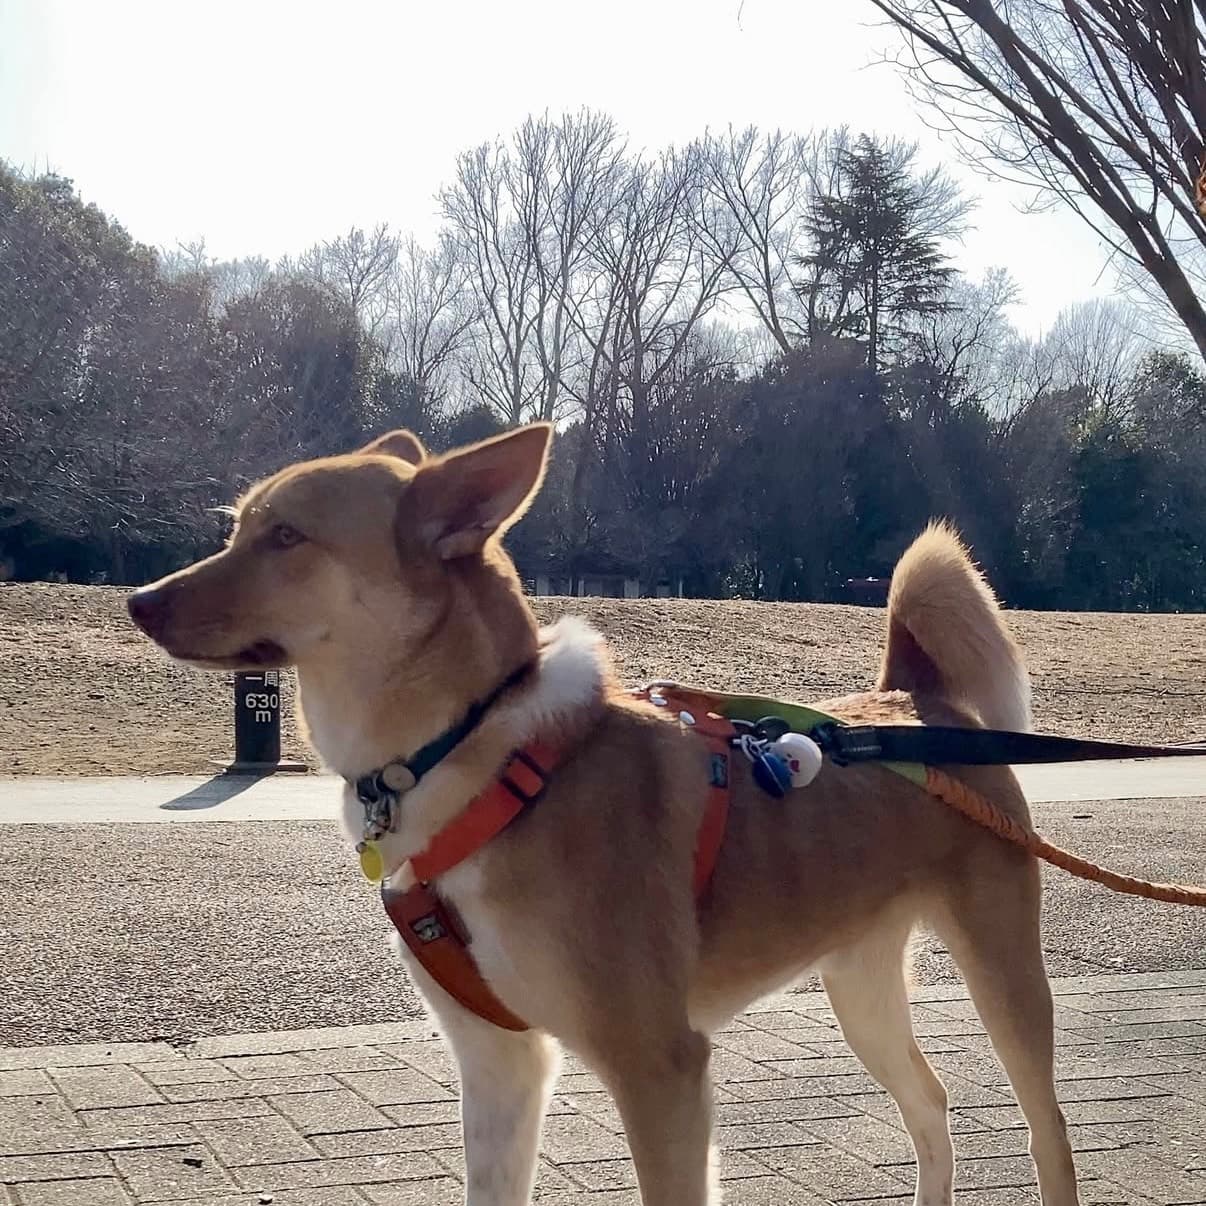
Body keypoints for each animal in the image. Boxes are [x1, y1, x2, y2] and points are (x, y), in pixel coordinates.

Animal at [128, 423, 1079, 1206]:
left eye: (285, 536)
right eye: (236, 528)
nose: (137, 600)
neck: (471, 749)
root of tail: (910, 700)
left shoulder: (661, 1069)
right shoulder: (499, 1065)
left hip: (1004, 979)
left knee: (1050, 1133)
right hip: (860, 988)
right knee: (931, 1101)